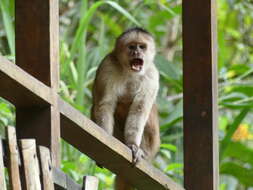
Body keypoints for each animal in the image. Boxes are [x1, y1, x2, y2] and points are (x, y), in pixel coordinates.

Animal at [91, 27, 159, 189]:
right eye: (132, 47)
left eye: (142, 47)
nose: (137, 53)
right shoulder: (108, 66)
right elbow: (105, 104)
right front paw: (104, 138)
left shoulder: (152, 74)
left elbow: (139, 110)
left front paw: (133, 145)